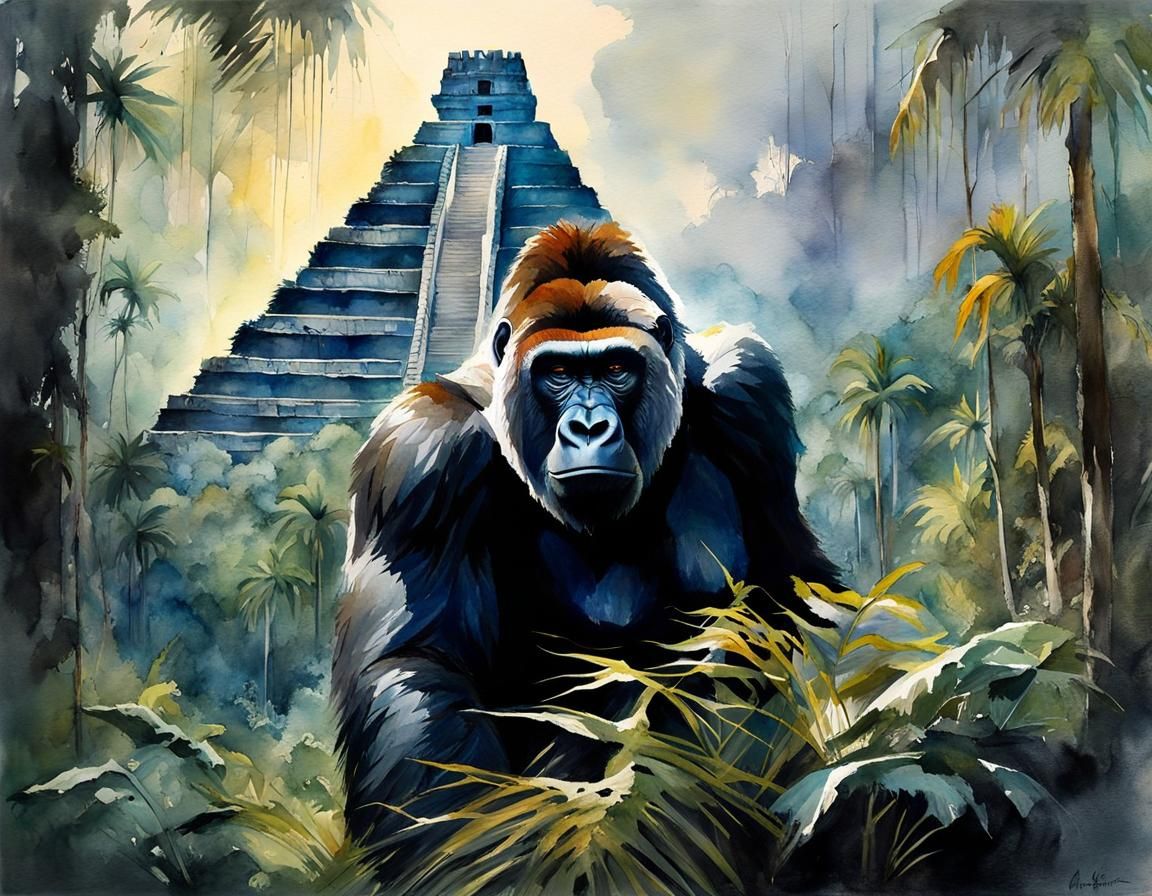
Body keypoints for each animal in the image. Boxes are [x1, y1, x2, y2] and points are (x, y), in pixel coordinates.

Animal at [332, 220, 838, 881]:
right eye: (557, 373)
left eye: (617, 368)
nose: (590, 427)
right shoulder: (421, 455)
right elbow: (414, 669)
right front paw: (476, 863)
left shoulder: (748, 390)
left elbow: (796, 592)